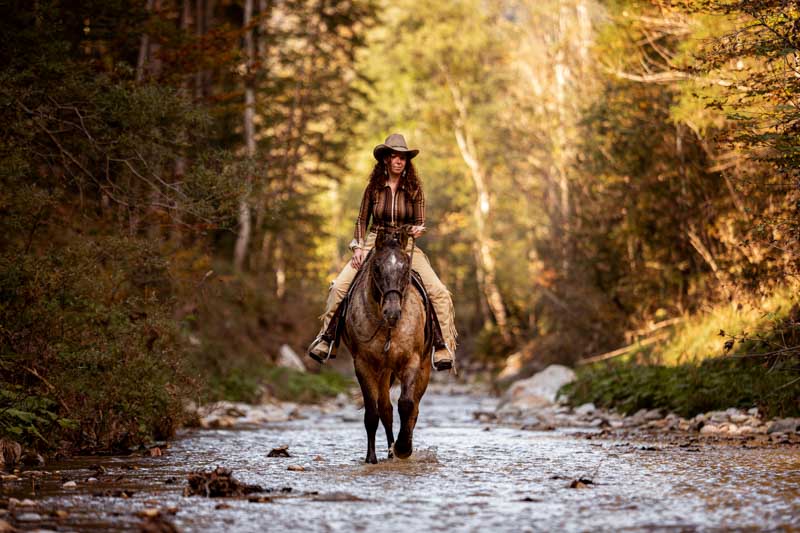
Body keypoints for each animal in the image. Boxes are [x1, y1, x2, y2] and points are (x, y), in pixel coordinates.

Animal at [344, 224, 432, 462]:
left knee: (414, 408)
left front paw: (404, 448)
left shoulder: (412, 360)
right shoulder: (363, 365)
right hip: (383, 371)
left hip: (423, 368)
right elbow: (372, 413)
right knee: (385, 409)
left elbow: (407, 404)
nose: (392, 313)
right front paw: (371, 458)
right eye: (376, 267)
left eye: (406, 267)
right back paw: (390, 452)